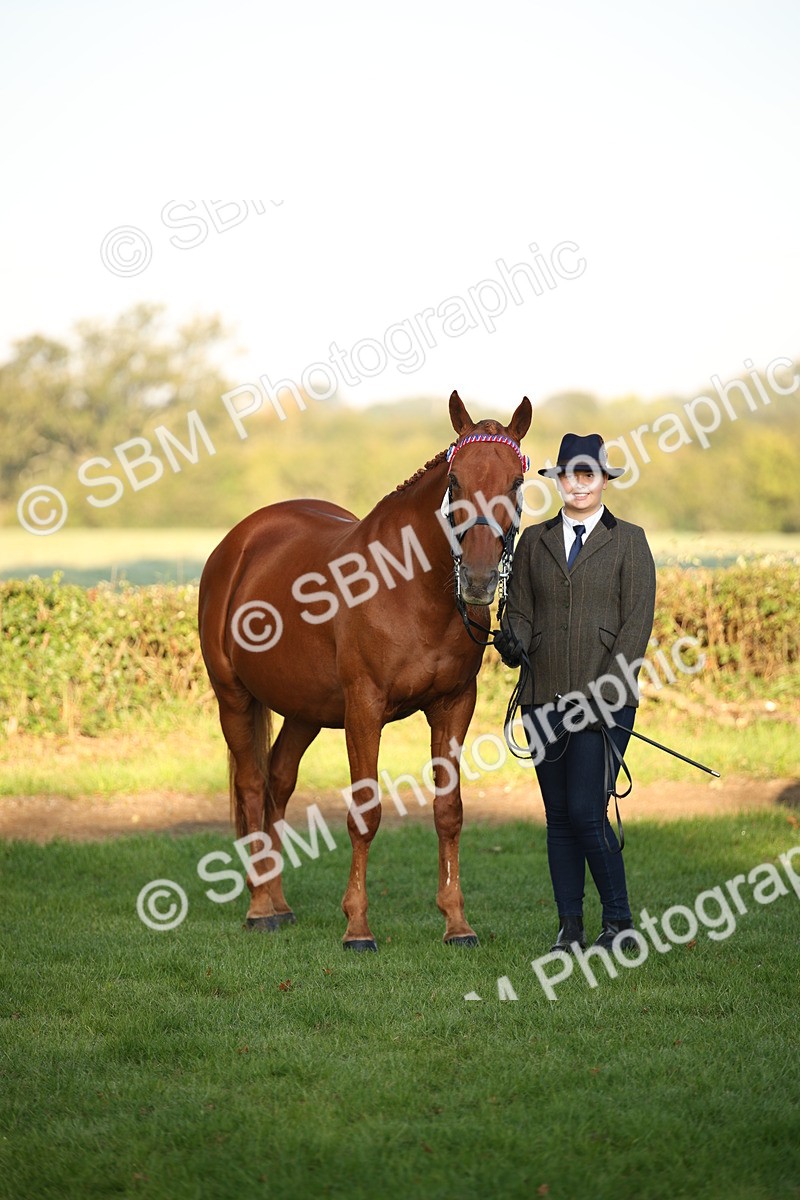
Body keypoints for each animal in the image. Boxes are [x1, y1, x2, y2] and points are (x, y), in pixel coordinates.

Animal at [198, 390, 532, 950]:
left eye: (516, 481)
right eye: (455, 480)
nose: (480, 578)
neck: (409, 589)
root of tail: (240, 542)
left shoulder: (453, 706)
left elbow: (449, 812)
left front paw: (457, 923)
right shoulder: (364, 709)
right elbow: (364, 812)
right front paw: (357, 927)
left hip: (306, 710)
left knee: (278, 781)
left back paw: (280, 902)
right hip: (234, 696)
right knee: (250, 785)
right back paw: (260, 908)